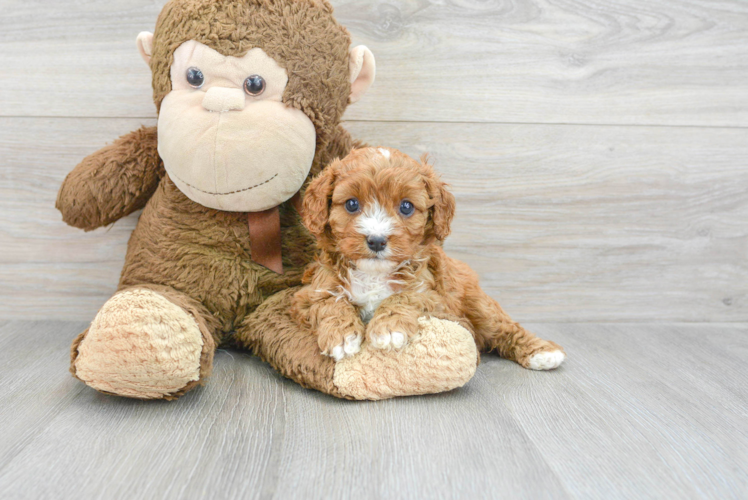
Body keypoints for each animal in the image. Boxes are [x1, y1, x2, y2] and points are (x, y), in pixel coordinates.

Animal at [294, 146, 568, 370]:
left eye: (406, 207)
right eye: (351, 204)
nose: (377, 240)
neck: (375, 273)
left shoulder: (435, 298)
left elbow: (406, 296)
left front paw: (389, 328)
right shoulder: (310, 293)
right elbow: (330, 303)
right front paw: (341, 335)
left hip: (479, 306)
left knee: (505, 327)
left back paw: (543, 353)